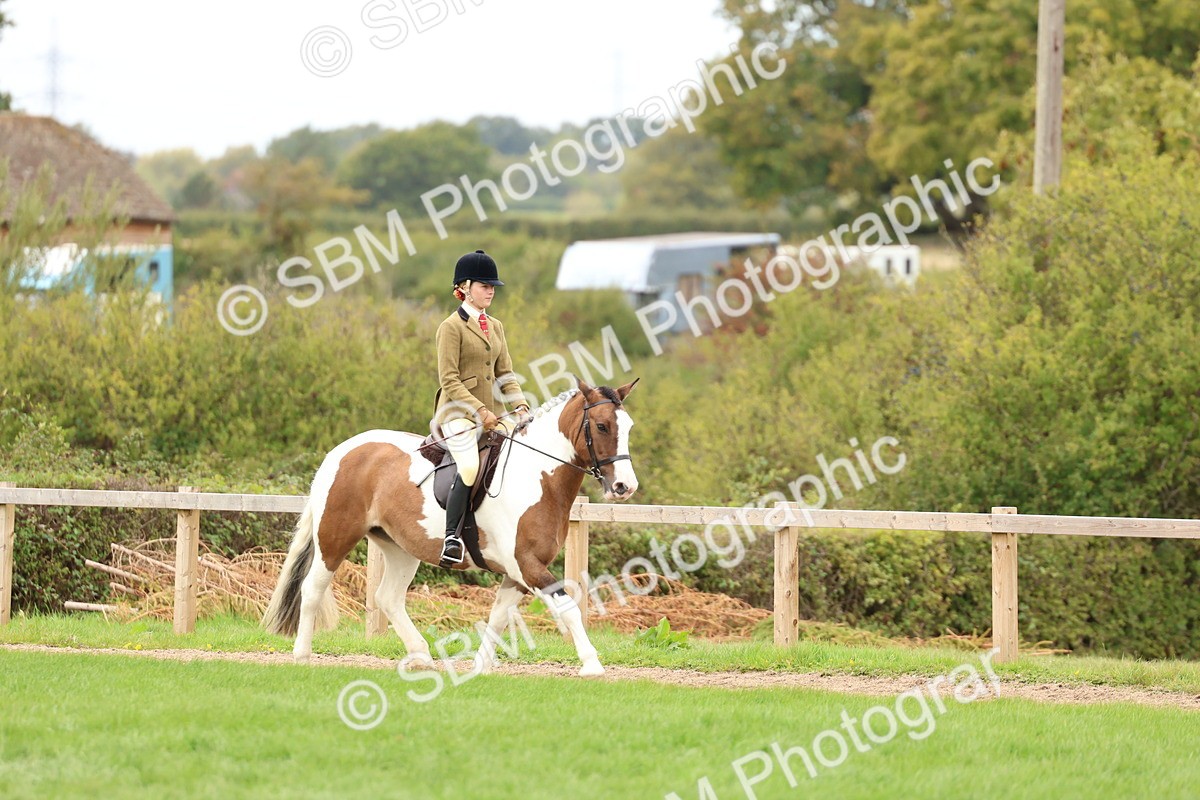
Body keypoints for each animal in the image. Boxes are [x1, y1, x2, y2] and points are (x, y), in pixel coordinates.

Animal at [263, 377, 639, 677]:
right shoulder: (527, 565)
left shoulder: (518, 573)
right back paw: (303, 655)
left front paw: (481, 666)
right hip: (335, 536)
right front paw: (592, 664)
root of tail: (341, 450)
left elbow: (499, 616)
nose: (625, 486)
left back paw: (421, 655)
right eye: (602, 426)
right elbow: (567, 607)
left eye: (629, 427)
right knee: (312, 589)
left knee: (388, 597)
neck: (538, 476)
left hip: (399, 547)